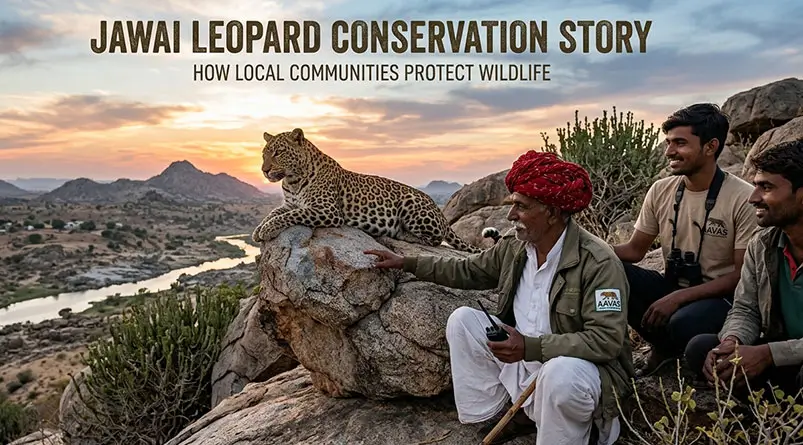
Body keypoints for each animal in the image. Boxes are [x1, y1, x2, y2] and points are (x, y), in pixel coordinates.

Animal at [251, 128, 481, 253]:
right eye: (264, 154)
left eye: (278, 153)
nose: (264, 170)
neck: (292, 180)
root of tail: (440, 212)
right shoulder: (289, 203)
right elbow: (274, 213)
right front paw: (258, 229)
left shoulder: (327, 211)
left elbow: (290, 216)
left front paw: (267, 229)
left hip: (412, 204)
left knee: (435, 239)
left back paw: (405, 235)